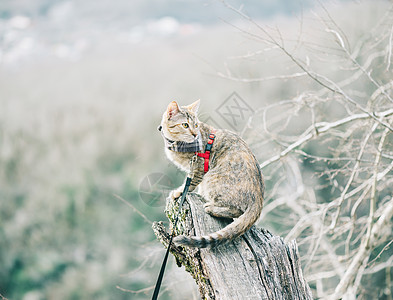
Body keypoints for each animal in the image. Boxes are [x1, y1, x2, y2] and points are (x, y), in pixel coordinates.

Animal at [158, 99, 264, 247]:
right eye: (185, 125)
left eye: (196, 125)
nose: (194, 134)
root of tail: (259, 200)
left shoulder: (198, 167)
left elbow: (189, 183)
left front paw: (179, 192)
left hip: (211, 179)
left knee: (238, 211)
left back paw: (211, 208)